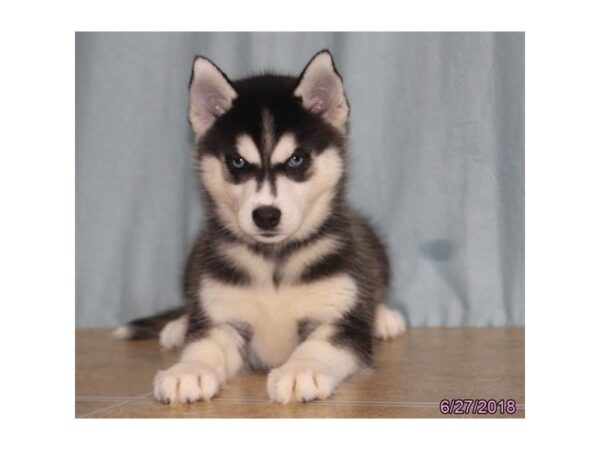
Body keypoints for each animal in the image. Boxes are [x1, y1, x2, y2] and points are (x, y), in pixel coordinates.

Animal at [116, 50, 408, 404]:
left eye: (297, 159)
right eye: (237, 162)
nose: (266, 215)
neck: (273, 261)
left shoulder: (340, 323)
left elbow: (319, 346)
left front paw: (301, 370)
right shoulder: (225, 318)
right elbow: (205, 345)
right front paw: (188, 371)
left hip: (373, 245)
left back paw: (383, 318)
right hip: (193, 262)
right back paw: (178, 326)